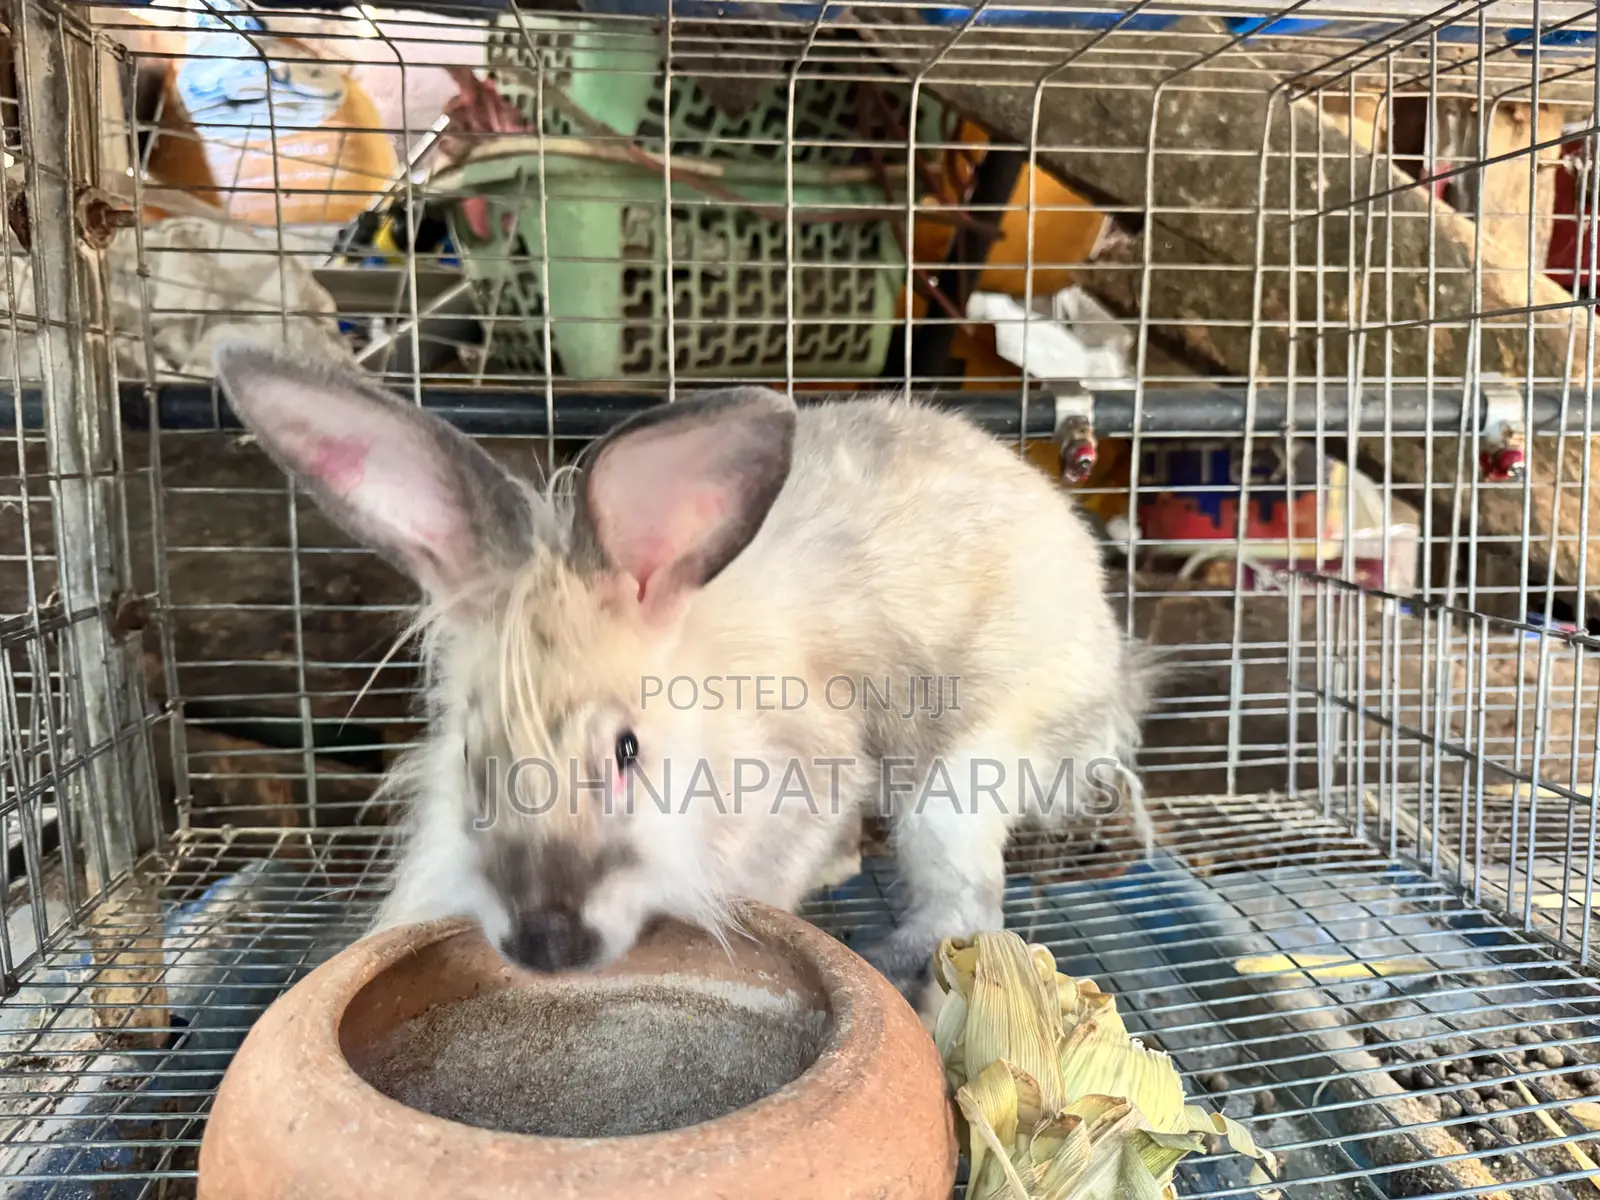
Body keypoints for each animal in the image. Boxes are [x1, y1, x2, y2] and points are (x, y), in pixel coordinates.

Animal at [211, 340, 1157, 1005]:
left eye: (627, 751)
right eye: (471, 755)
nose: (547, 947)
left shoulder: (811, 775)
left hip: (960, 780)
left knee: (967, 903)